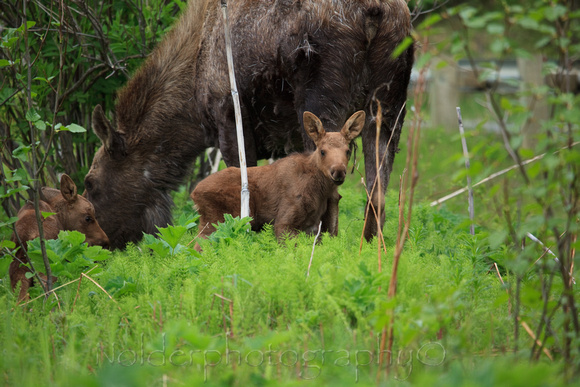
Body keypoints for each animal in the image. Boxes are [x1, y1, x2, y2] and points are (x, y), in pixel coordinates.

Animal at [191, 110, 362, 247]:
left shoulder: (322, 226)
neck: (322, 191)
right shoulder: (284, 222)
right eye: (322, 151)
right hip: (220, 221)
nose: (338, 172)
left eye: (348, 151)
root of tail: (194, 193)